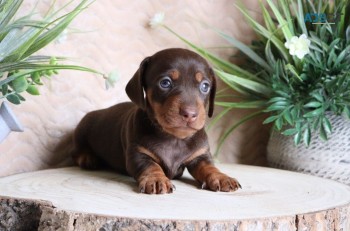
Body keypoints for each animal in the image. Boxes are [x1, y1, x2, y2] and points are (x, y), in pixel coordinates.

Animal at [71, 47, 241, 194]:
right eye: (165, 83)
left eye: (205, 86)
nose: (190, 114)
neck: (174, 138)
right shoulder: (138, 154)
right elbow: (151, 166)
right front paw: (156, 180)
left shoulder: (199, 156)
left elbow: (208, 167)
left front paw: (221, 177)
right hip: (81, 129)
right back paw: (87, 158)